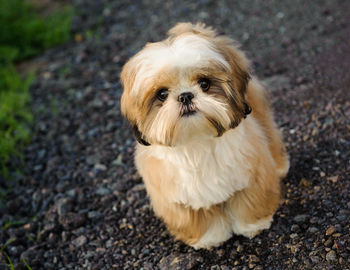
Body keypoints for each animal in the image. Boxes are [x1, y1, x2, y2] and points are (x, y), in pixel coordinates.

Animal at [120, 23, 290, 249]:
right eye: (162, 94)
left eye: (204, 83)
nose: (185, 96)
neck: (197, 141)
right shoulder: (179, 201)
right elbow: (199, 220)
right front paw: (210, 239)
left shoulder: (252, 175)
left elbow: (250, 202)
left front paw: (253, 226)